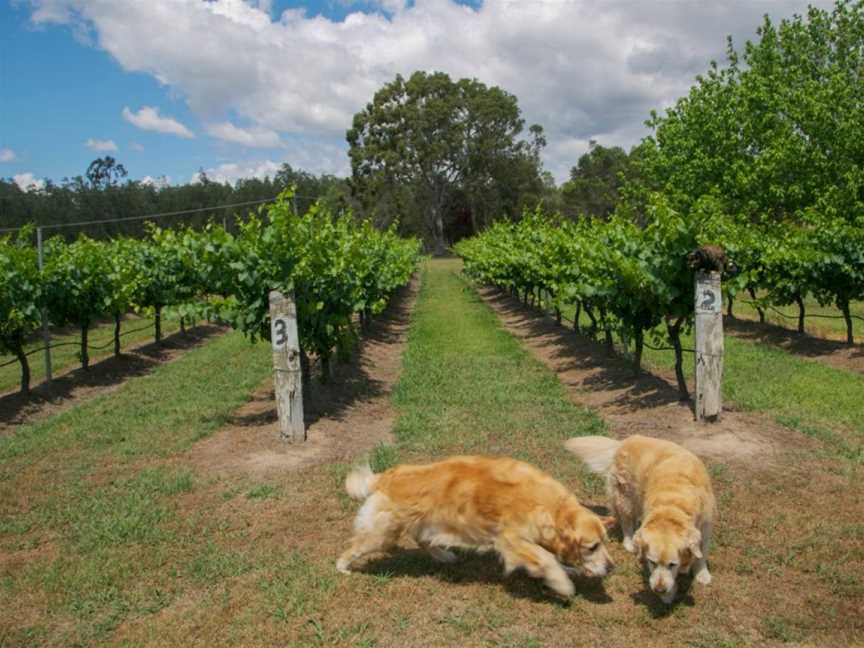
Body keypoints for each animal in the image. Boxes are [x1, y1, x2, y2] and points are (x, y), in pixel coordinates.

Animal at [336, 456, 616, 596]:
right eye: (592, 547)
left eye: (605, 543)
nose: (612, 568)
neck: (551, 507)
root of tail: (386, 476)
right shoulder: (510, 540)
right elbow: (545, 558)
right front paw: (562, 584)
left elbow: (550, 556)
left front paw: (568, 570)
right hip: (383, 533)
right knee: (355, 546)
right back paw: (342, 567)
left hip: (427, 522)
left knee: (423, 540)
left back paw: (444, 556)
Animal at [564, 436, 712, 604]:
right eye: (652, 562)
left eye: (672, 565)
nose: (659, 590)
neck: (673, 504)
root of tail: (625, 441)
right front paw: (668, 595)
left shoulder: (705, 526)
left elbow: (702, 553)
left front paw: (702, 574)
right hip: (626, 498)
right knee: (626, 522)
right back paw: (630, 543)